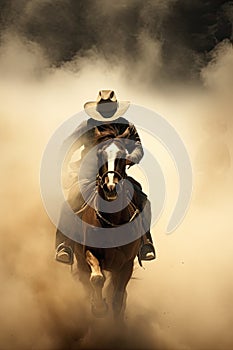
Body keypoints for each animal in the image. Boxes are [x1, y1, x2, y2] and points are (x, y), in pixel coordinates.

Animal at [72, 129, 144, 320]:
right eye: (99, 154)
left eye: (122, 155)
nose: (111, 186)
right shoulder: (89, 252)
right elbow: (96, 279)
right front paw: (98, 307)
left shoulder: (126, 264)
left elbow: (118, 297)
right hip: (79, 260)